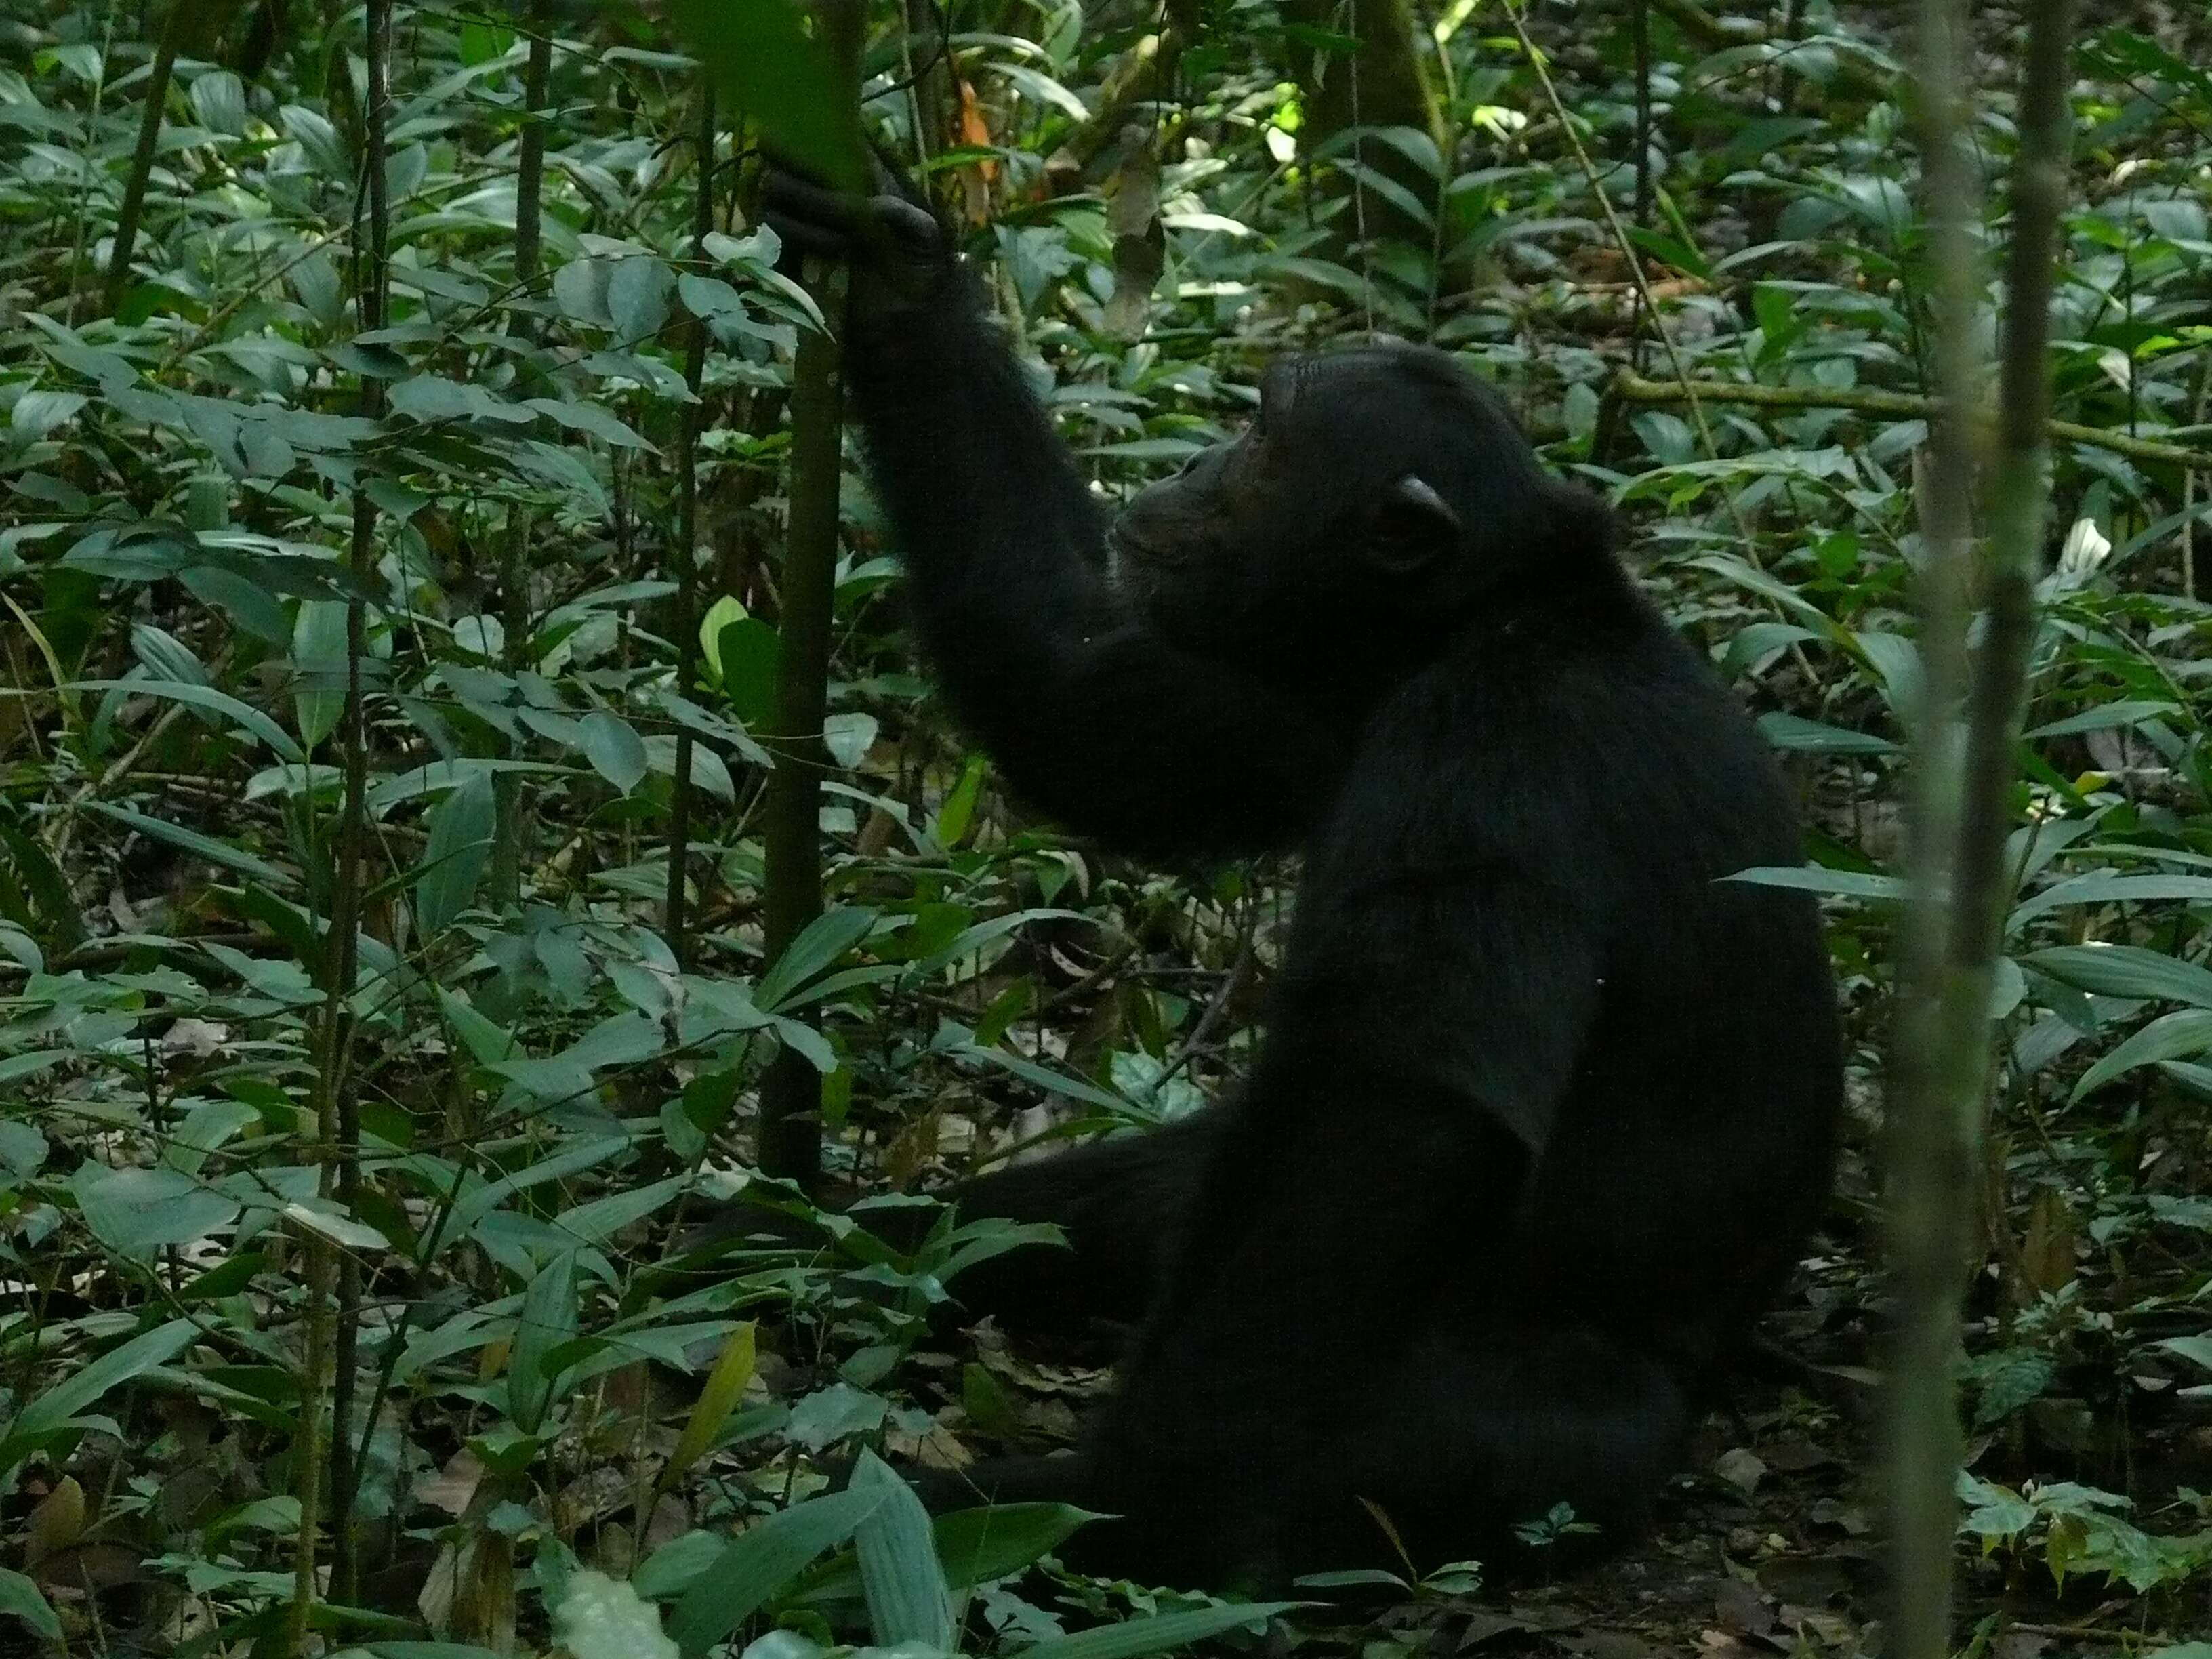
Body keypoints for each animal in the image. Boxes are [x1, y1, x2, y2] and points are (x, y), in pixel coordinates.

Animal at [760, 162, 1849, 1593]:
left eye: (1265, 433)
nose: (1189, 462)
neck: (1462, 625)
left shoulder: (1487, 764)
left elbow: (1390, 1104)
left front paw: (1127, 1491)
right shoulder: (1307, 710)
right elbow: (1084, 692)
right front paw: (895, 271)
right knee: (1132, 1198)